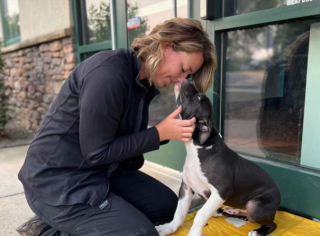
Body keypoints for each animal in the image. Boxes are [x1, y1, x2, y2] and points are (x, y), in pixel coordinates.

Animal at [156, 79, 282, 236]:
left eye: (198, 97)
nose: (189, 79)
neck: (197, 148)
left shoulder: (221, 191)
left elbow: (200, 214)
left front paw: (194, 233)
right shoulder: (186, 188)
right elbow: (179, 213)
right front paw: (168, 228)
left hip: (255, 206)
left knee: (271, 223)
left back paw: (258, 231)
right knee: (243, 214)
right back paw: (229, 211)